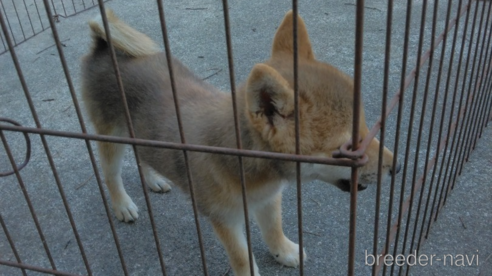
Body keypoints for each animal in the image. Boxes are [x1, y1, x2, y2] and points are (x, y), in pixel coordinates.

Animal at [80, 9, 396, 276]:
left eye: (366, 127)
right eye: (349, 147)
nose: (398, 167)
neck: (250, 166)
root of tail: (104, 45)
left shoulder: (269, 198)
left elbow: (274, 230)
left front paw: (283, 251)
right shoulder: (225, 219)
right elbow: (242, 257)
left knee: (143, 154)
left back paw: (154, 179)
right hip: (111, 138)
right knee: (110, 174)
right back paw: (122, 205)